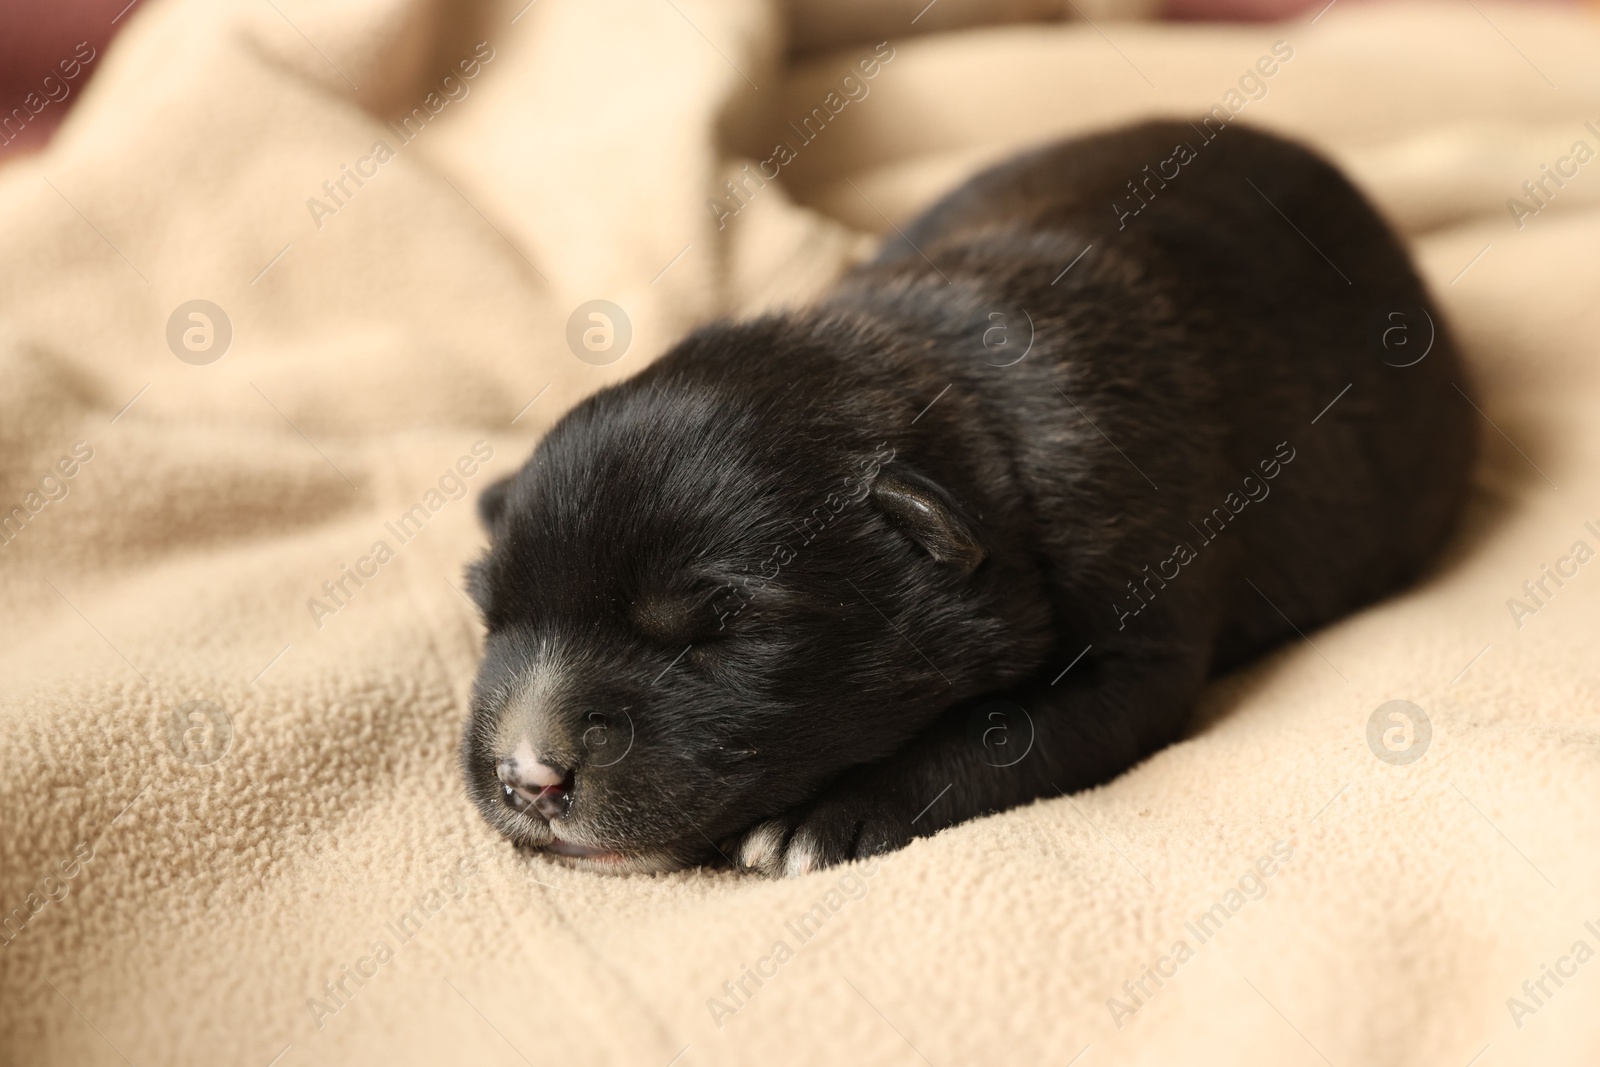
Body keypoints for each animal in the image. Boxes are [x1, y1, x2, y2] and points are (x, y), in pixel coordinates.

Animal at [460, 120, 1472, 883]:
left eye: (716, 632)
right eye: (490, 617)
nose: (527, 776)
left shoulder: (1136, 651)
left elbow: (1000, 731)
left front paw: (827, 817)